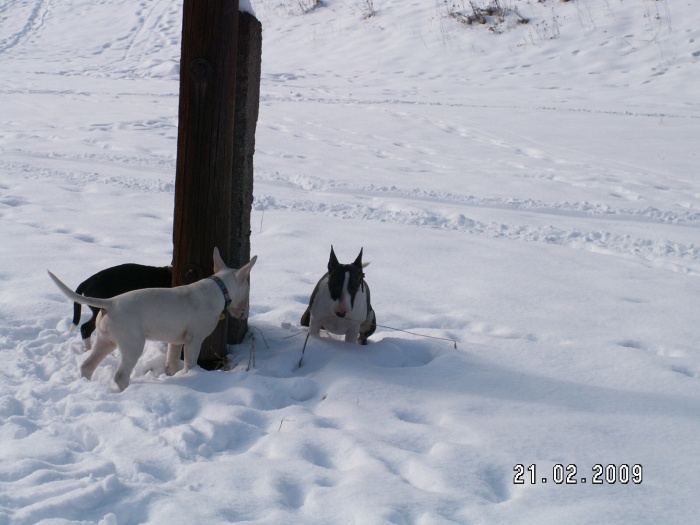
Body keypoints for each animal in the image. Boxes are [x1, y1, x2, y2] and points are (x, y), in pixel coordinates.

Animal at [48, 248, 258, 390]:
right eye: (248, 287)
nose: (245, 314)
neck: (218, 288)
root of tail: (110, 303)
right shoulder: (194, 339)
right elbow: (190, 363)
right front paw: (191, 376)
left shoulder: (175, 340)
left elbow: (171, 362)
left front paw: (172, 375)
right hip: (132, 342)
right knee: (120, 375)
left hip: (106, 340)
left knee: (87, 365)